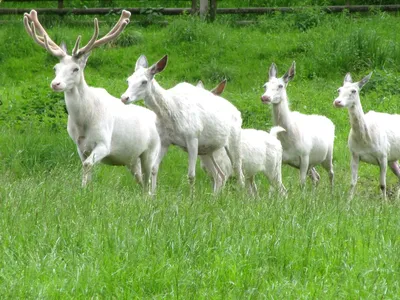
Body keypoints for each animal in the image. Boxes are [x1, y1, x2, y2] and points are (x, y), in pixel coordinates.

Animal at [23, 10, 159, 193]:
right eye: (55, 68)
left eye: (75, 69)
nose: (55, 84)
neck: (83, 122)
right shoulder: (80, 146)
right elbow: (87, 165)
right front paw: (88, 188)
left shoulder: (104, 142)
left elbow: (87, 165)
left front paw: (83, 190)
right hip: (132, 159)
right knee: (141, 181)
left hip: (151, 151)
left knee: (150, 179)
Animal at [120, 55, 245, 193]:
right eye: (128, 80)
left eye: (144, 82)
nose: (124, 98)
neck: (169, 113)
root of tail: (238, 113)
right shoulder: (164, 140)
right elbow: (154, 168)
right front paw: (152, 194)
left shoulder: (192, 138)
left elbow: (191, 175)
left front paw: (192, 197)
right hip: (206, 150)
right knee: (219, 175)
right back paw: (215, 196)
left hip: (234, 140)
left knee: (239, 172)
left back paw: (244, 196)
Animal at [332, 71, 400, 200]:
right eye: (339, 89)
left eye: (354, 91)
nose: (337, 102)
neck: (365, 141)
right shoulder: (354, 154)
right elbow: (352, 182)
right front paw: (348, 202)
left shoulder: (383, 155)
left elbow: (382, 184)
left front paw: (384, 203)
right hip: (392, 159)